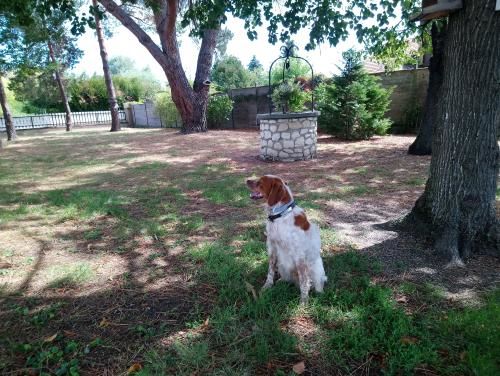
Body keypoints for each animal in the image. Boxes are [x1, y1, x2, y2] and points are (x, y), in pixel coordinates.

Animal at [247, 175, 328, 304]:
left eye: (260, 182)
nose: (247, 180)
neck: (281, 215)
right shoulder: (272, 248)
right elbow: (270, 271)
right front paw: (267, 286)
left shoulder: (299, 255)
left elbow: (304, 282)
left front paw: (304, 301)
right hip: (282, 265)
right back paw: (281, 281)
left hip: (315, 268)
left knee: (315, 283)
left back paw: (319, 293)